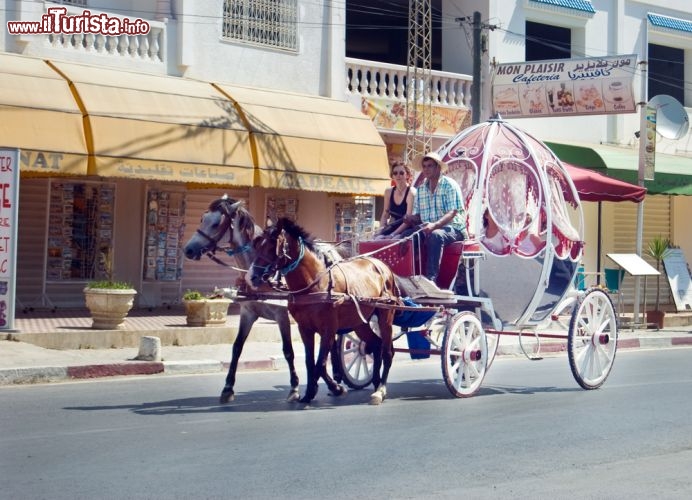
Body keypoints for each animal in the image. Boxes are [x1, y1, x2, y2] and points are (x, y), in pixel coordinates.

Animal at [247, 217, 400, 404]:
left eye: (271, 247)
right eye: (257, 246)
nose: (252, 277)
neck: (314, 284)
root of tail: (383, 266)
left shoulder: (329, 329)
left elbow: (320, 364)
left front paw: (329, 389)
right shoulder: (305, 328)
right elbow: (310, 362)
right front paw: (314, 392)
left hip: (386, 317)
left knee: (387, 352)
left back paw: (381, 390)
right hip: (359, 322)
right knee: (376, 345)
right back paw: (376, 382)